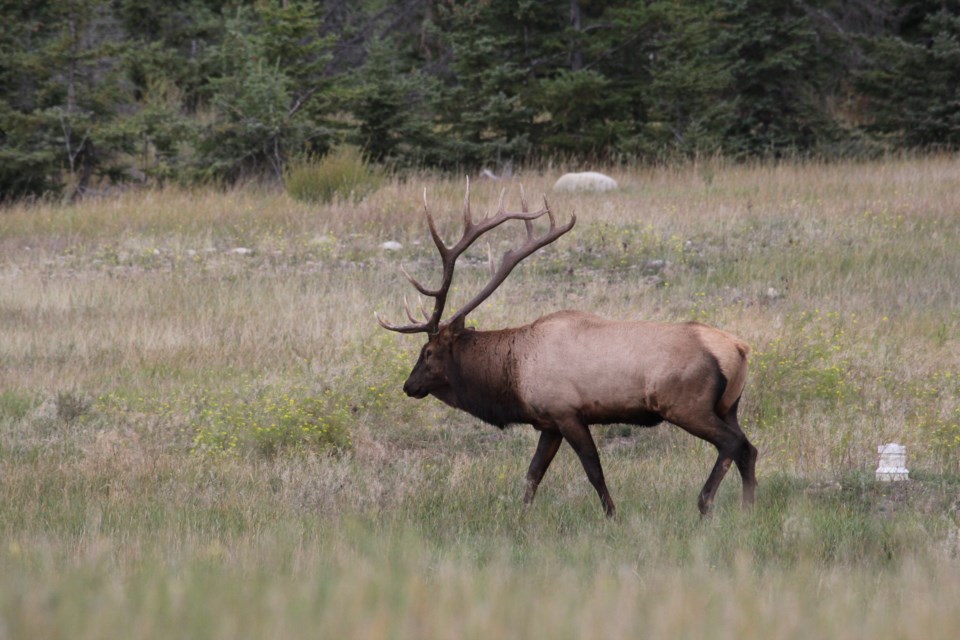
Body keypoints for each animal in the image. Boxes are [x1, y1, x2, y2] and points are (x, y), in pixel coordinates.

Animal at [376, 179, 756, 516]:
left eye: (427, 353)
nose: (408, 385)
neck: (513, 375)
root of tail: (738, 349)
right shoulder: (548, 422)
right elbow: (532, 475)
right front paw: (521, 516)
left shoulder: (566, 411)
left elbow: (594, 471)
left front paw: (612, 516)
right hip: (728, 406)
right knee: (748, 449)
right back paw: (747, 509)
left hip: (686, 404)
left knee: (732, 443)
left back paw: (705, 505)